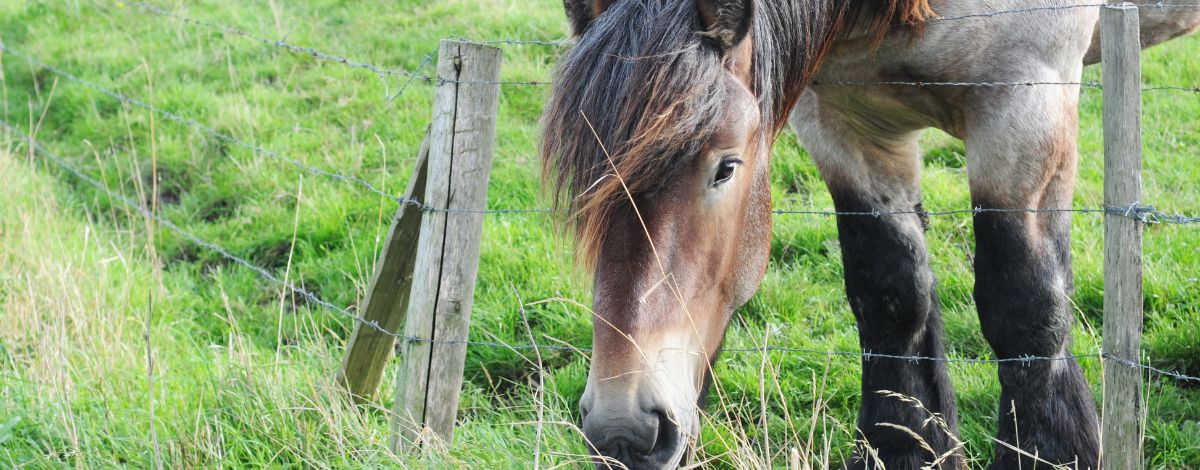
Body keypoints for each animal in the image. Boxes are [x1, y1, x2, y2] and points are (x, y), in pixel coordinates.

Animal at [542, 1, 1200, 467]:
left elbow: (1025, 309)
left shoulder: (1025, 105)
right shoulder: (843, 120)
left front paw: (1052, 453)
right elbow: (890, 295)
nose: (624, 430)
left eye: (725, 167)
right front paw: (904, 449)